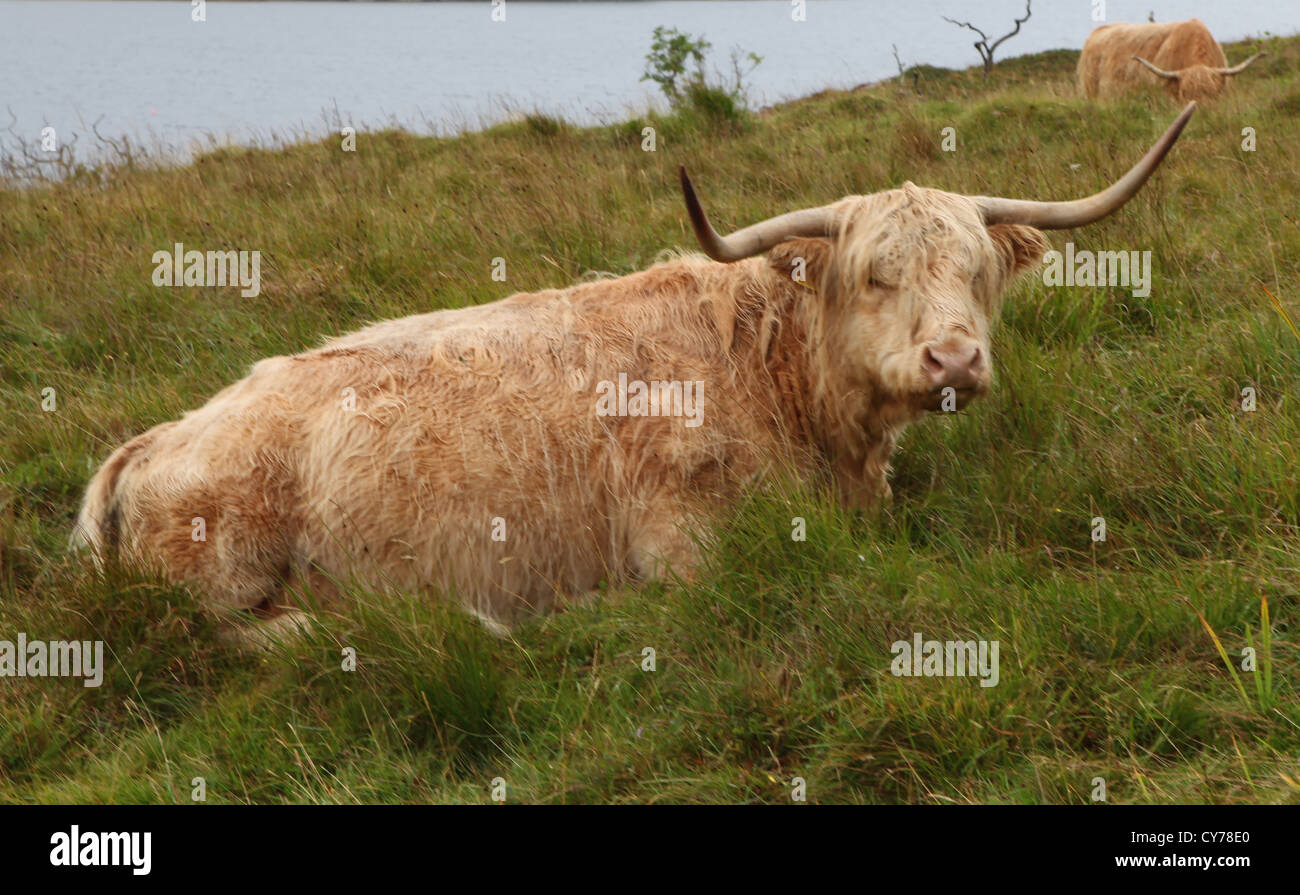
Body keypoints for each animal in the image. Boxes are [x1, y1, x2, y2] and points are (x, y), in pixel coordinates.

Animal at [73, 105, 1196, 641]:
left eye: (973, 271)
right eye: (874, 275)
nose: (954, 356)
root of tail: (150, 439)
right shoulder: (683, 541)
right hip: (225, 570)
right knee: (237, 638)